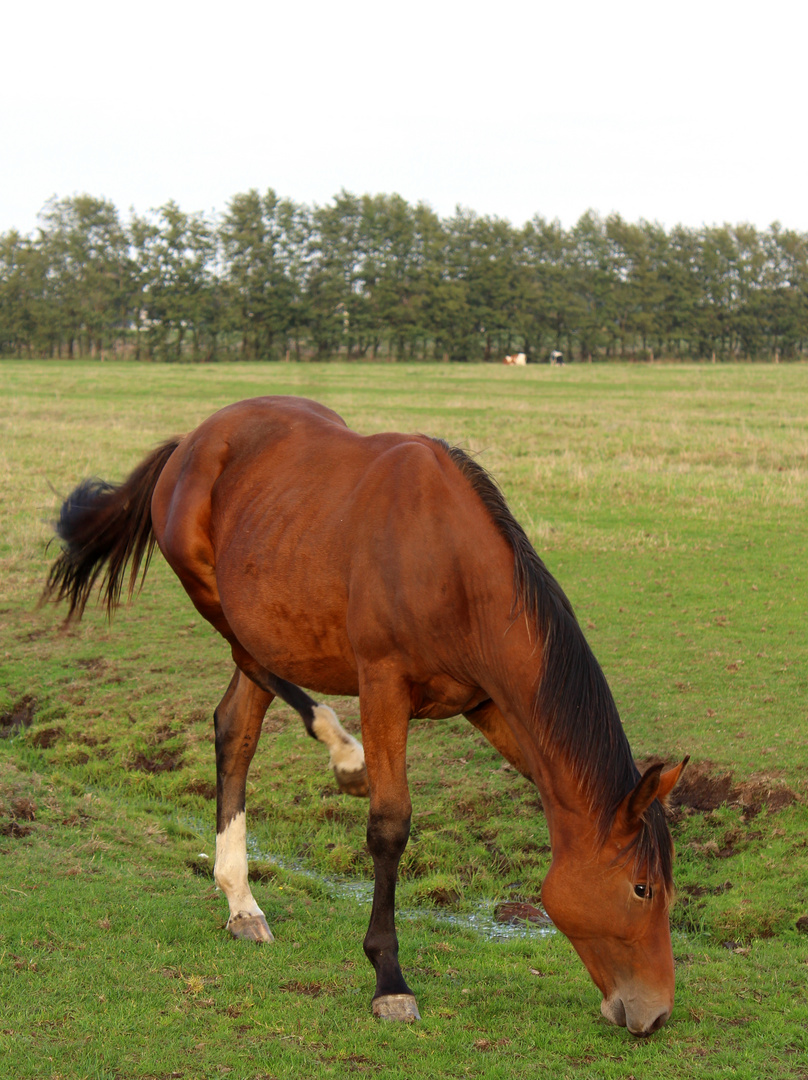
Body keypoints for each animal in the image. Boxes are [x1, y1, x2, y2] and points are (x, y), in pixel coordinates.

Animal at [42, 395, 687, 1028]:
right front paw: (389, 981)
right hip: (221, 603)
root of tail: (193, 441)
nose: (655, 1013)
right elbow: (389, 827)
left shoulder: (490, 705)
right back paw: (341, 753)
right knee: (252, 665)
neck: (450, 563)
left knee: (236, 728)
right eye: (642, 889)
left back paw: (241, 901)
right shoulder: (383, 685)